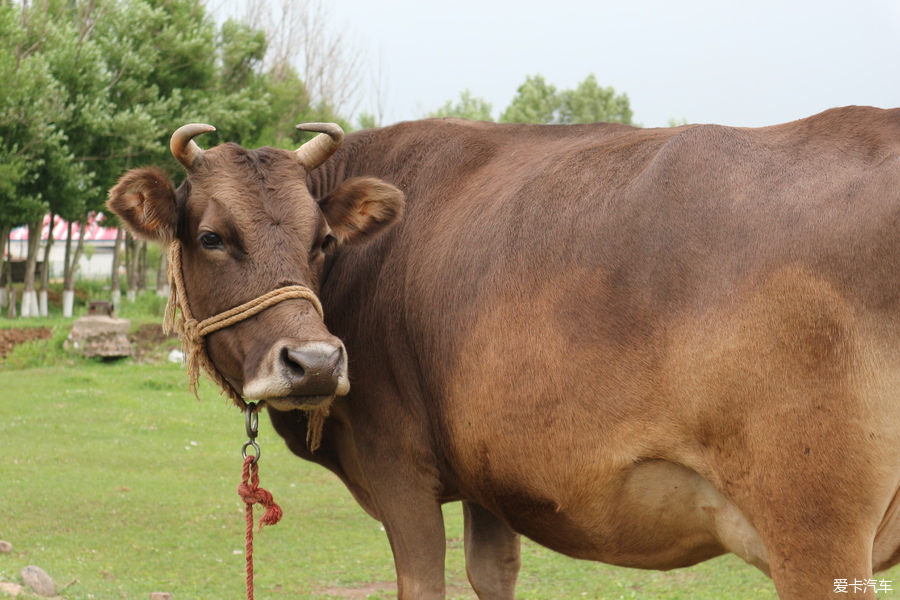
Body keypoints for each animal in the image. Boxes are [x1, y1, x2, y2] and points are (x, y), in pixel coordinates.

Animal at [107, 108, 900, 600]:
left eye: (322, 240)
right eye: (211, 236)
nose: (316, 363)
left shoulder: (397, 468)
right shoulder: (490, 478)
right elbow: (493, 575)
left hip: (814, 526)